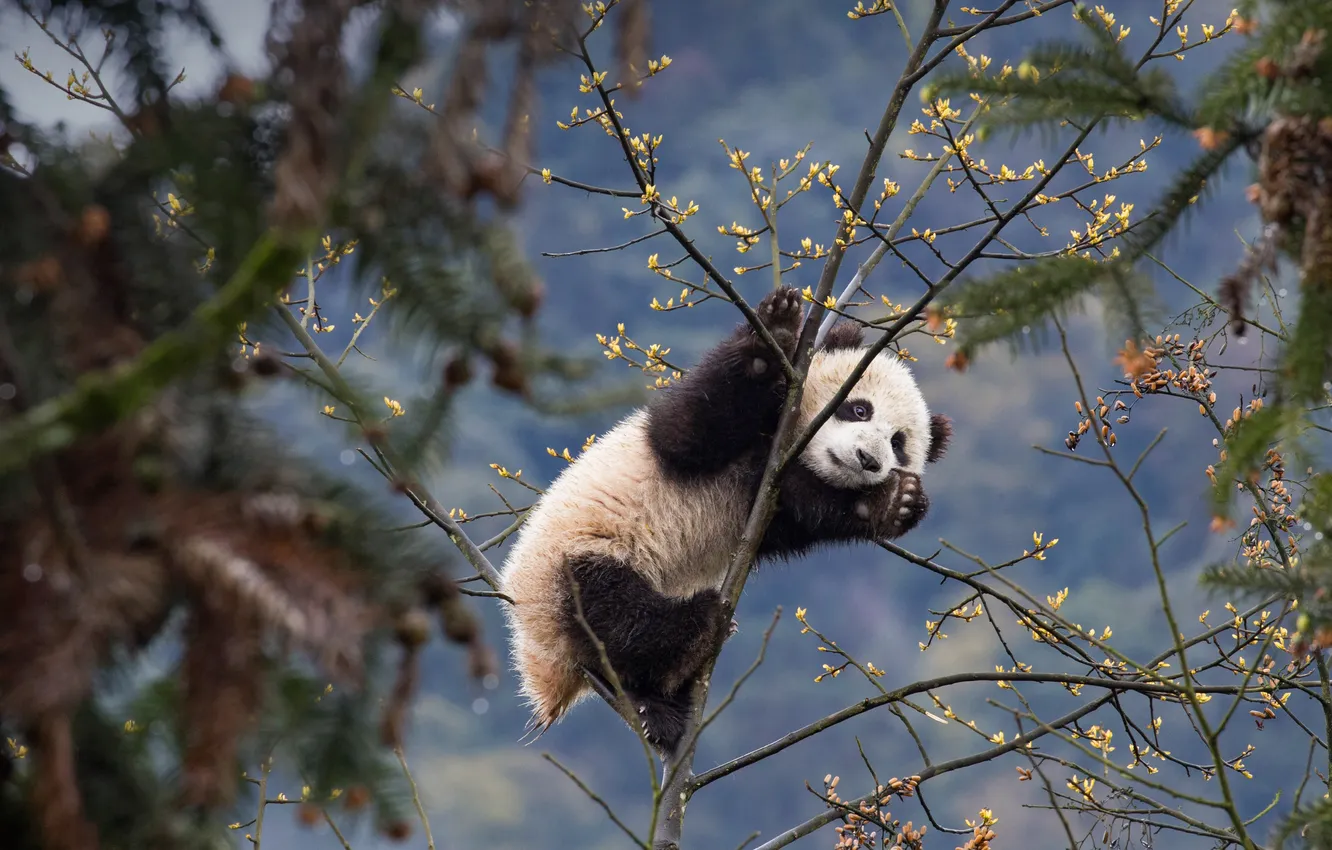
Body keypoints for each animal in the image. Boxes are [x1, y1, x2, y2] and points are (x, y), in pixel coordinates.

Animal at [498, 285, 951, 755]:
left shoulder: (770, 497)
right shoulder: (696, 437)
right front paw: (776, 331)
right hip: (572, 562)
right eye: (860, 410)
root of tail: (544, 668)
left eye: (898, 445)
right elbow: (690, 431)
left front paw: (893, 502)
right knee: (614, 615)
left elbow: (803, 512)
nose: (867, 460)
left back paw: (663, 702)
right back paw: (696, 633)